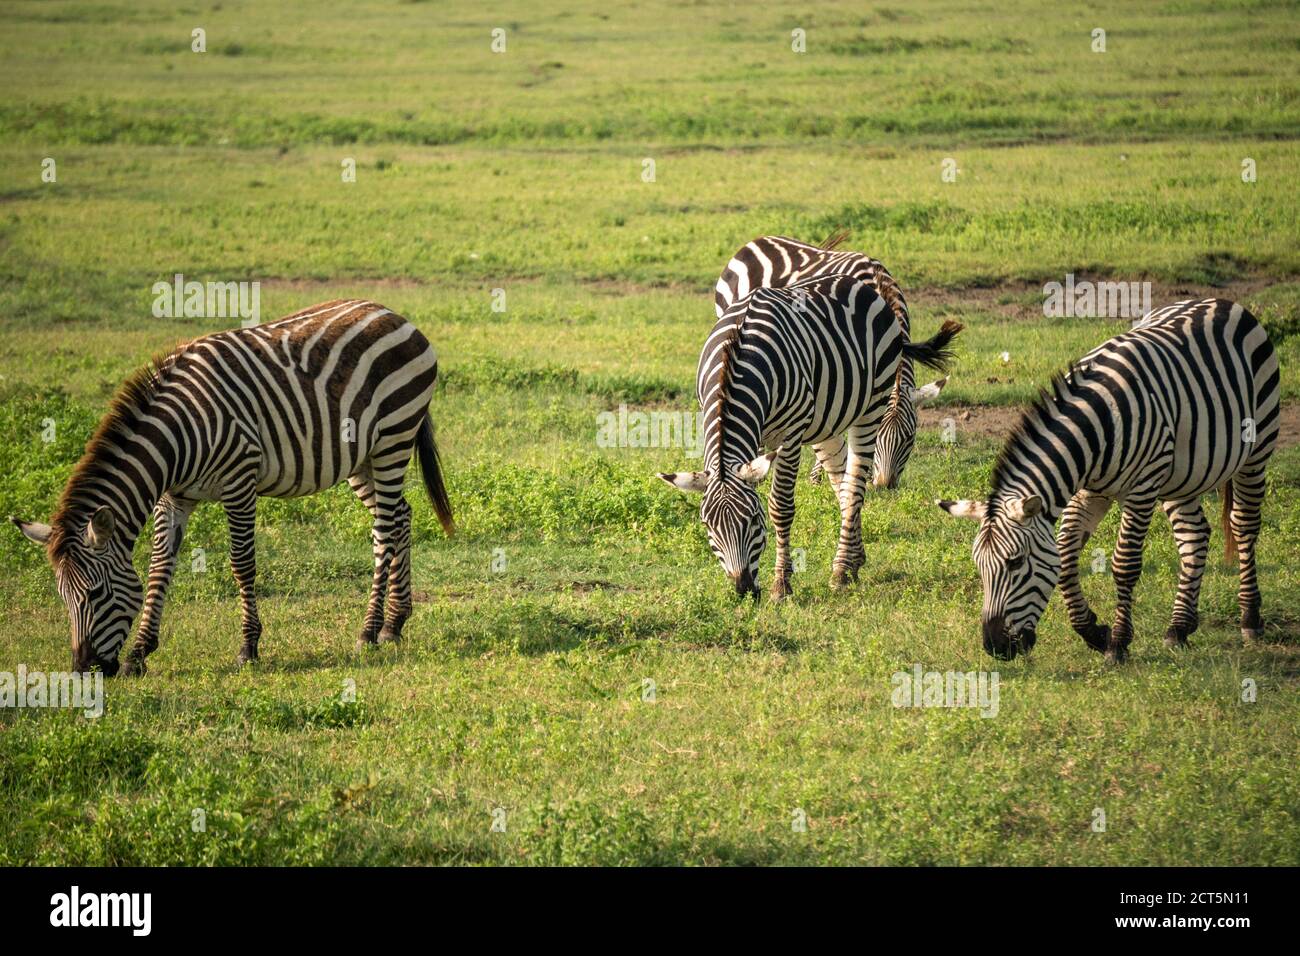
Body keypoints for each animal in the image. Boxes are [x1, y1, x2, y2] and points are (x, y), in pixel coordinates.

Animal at [11, 303, 452, 676]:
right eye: (63, 597)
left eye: (97, 593)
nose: (83, 670)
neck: (178, 436)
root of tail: (394, 315)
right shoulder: (174, 497)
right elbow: (159, 566)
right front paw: (139, 653)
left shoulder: (240, 480)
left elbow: (242, 563)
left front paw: (248, 648)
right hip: (360, 458)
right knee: (401, 516)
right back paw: (395, 623)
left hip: (393, 438)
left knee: (385, 530)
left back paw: (369, 630)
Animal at [660, 270, 956, 598]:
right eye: (708, 525)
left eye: (754, 521)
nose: (744, 589)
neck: (738, 359)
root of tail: (857, 283)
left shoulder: (790, 434)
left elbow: (781, 506)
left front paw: (781, 584)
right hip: (827, 423)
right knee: (841, 483)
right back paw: (853, 560)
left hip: (871, 409)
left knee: (855, 484)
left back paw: (841, 571)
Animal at [941, 299, 1274, 665]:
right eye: (979, 567)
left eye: (1015, 563)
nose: (996, 648)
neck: (1099, 425)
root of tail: (1220, 302)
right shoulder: (1090, 490)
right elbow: (1065, 555)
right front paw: (1093, 632)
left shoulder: (1142, 487)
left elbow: (1124, 563)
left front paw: (1117, 643)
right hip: (1180, 474)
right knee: (1194, 536)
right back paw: (1179, 627)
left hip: (1257, 446)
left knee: (1243, 525)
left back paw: (1250, 619)